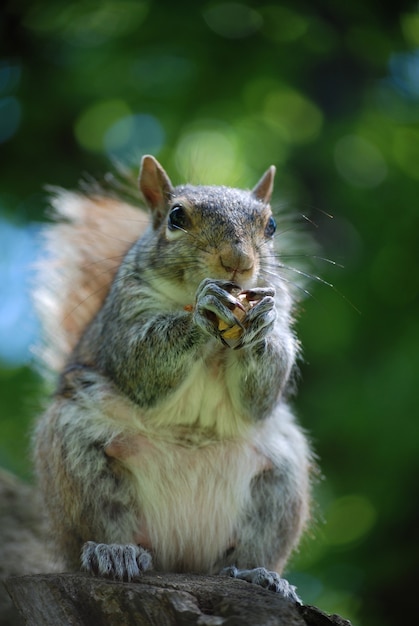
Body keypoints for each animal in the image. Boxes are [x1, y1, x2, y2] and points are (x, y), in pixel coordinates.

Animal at [32, 154, 314, 604]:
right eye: (176, 217)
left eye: (270, 225)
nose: (238, 263)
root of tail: (183, 554)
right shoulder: (123, 319)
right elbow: (141, 360)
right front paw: (203, 310)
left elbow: (265, 388)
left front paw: (263, 326)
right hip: (76, 454)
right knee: (103, 519)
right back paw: (114, 551)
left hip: (281, 481)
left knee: (251, 548)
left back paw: (259, 574)